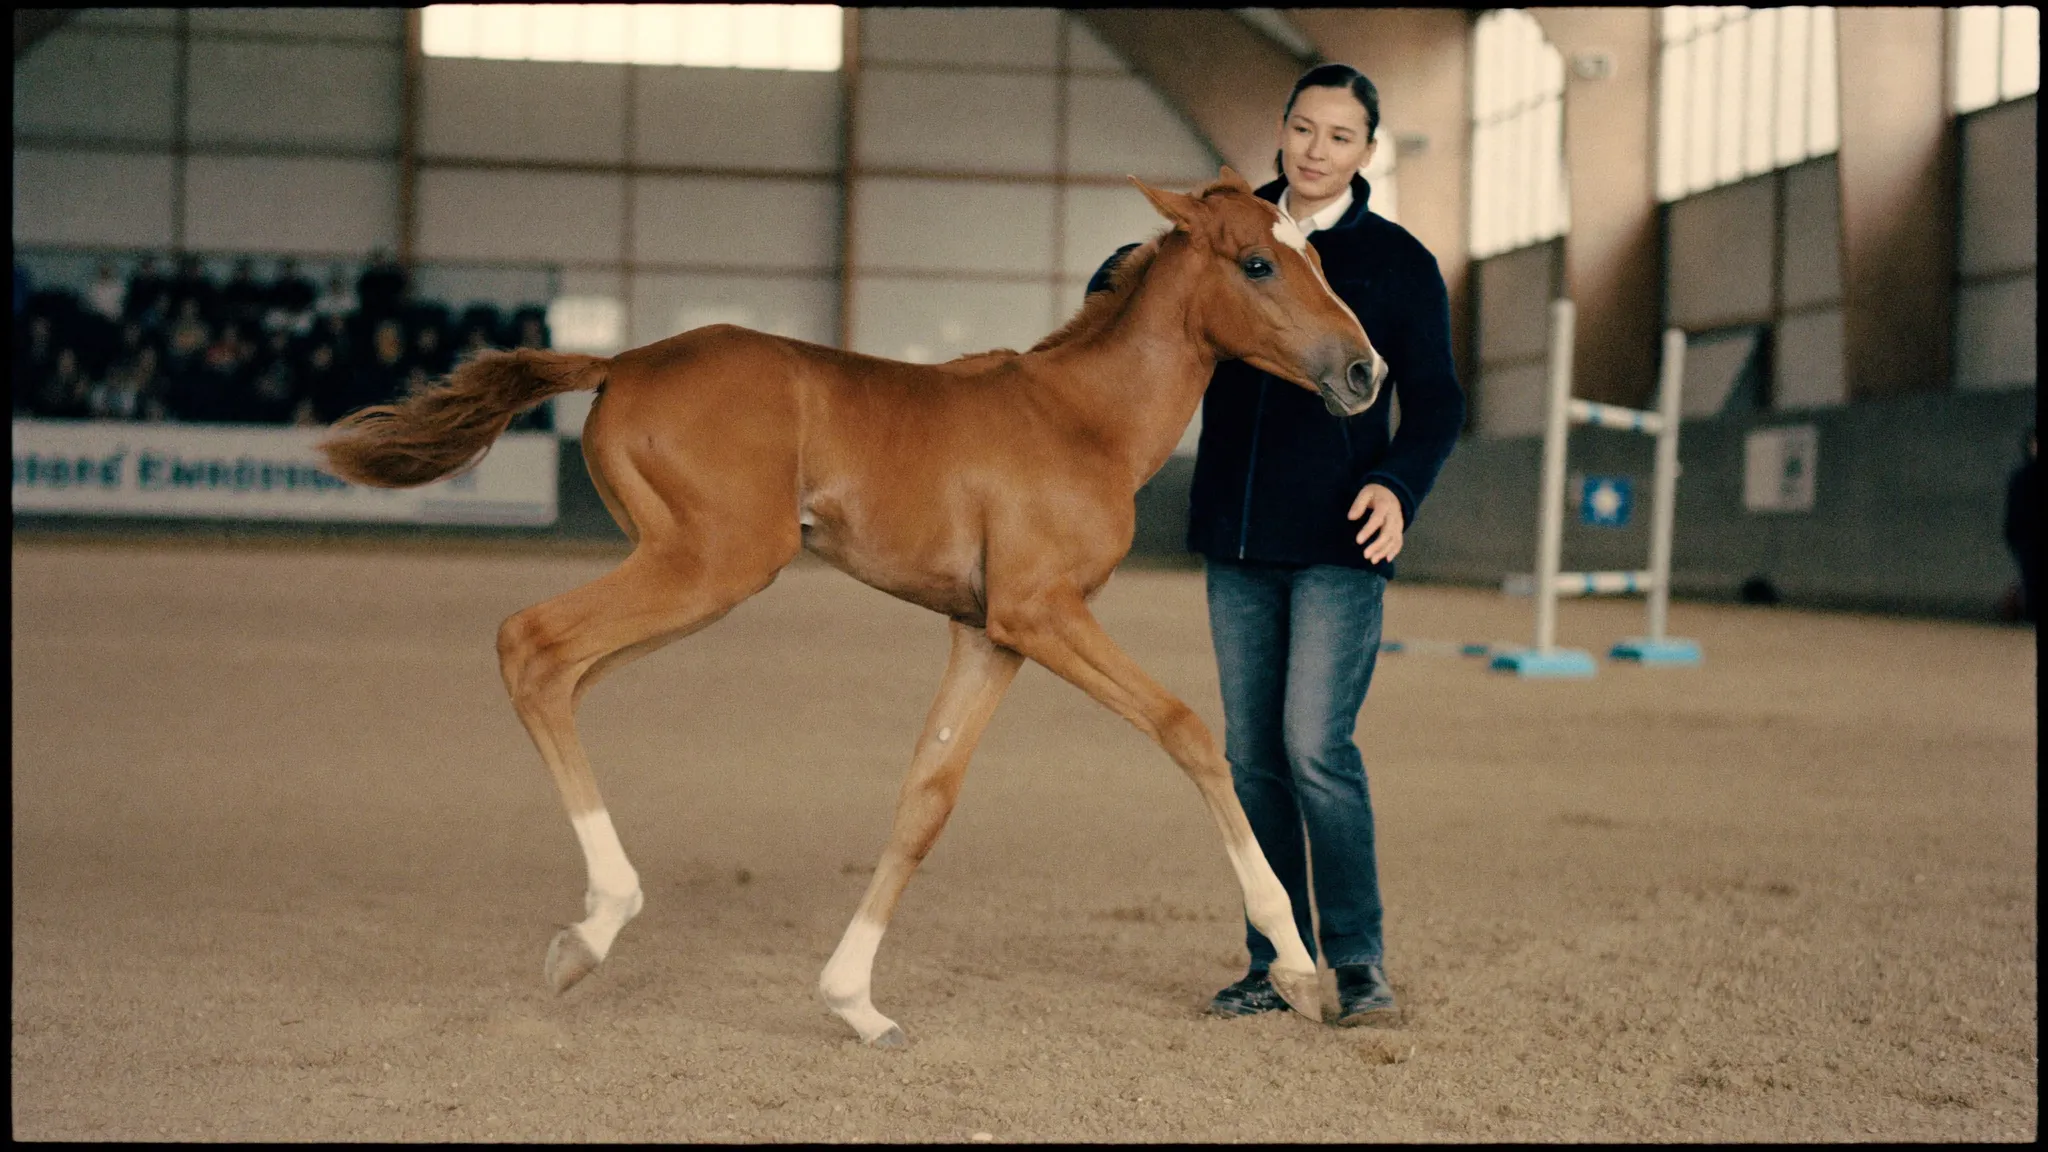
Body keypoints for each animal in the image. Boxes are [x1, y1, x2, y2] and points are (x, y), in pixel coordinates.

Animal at [318, 165, 1387, 1047]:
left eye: (1316, 253)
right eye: (1258, 262)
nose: (1365, 371)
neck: (1082, 419)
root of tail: (621, 362)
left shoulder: (986, 636)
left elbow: (925, 801)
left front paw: (854, 1003)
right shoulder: (1042, 614)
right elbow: (1186, 729)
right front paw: (1299, 972)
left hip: (685, 575)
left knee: (563, 674)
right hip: (711, 566)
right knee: (531, 642)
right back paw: (595, 929)